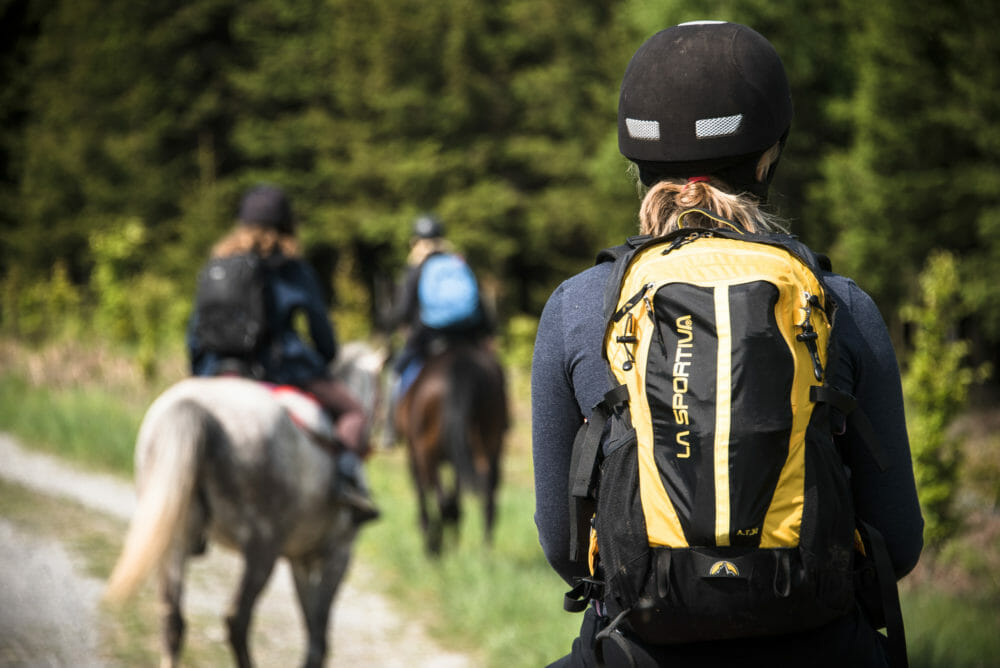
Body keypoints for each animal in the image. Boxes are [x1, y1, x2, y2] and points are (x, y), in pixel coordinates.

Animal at [101, 344, 382, 668]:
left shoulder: (301, 560)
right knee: (237, 620)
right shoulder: (338, 554)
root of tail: (195, 407)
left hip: (174, 535)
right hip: (262, 547)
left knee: (172, 619)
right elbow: (318, 638)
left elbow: (312, 629)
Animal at [394, 342, 508, 556]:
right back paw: (485, 548)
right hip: (489, 442)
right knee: (488, 494)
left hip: (426, 451)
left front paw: (433, 540)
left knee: (440, 498)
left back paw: (435, 544)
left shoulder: (415, 454)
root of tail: (460, 365)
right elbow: (456, 496)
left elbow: (426, 492)